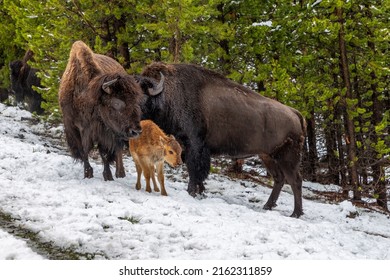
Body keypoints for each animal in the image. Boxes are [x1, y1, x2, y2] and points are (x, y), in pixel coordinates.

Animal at [59, 41, 165, 182]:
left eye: (137, 102)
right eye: (116, 103)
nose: (136, 131)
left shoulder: (105, 132)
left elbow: (104, 153)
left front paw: (108, 176)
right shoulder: (75, 128)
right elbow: (84, 151)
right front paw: (88, 174)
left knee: (118, 151)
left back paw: (120, 173)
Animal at [142, 62, 306, 218]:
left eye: (142, 95)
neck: (169, 93)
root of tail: (295, 113)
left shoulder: (195, 146)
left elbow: (195, 170)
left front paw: (192, 192)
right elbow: (196, 172)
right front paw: (200, 192)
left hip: (288, 158)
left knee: (295, 181)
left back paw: (295, 213)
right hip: (267, 156)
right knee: (279, 178)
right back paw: (268, 206)